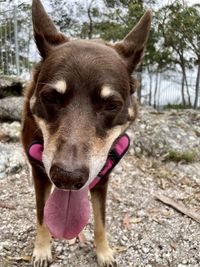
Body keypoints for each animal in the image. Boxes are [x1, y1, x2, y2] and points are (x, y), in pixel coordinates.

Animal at [21, 1, 151, 266]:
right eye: (51, 98)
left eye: (111, 105)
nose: (67, 178)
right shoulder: (39, 174)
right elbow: (42, 215)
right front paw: (42, 249)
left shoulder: (103, 178)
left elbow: (101, 220)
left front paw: (104, 251)